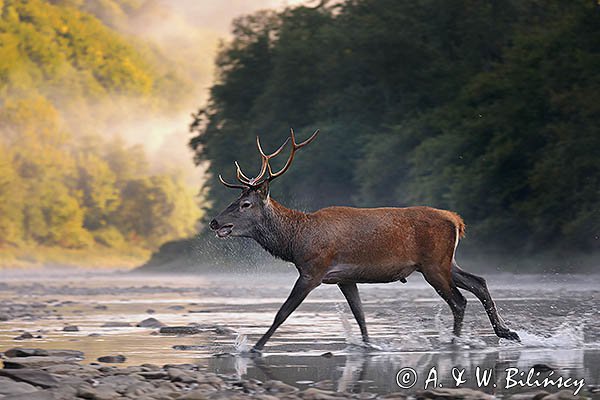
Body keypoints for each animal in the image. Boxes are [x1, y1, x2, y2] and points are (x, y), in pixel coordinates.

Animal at [209, 130, 516, 352]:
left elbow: (282, 313)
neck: (295, 241)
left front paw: (254, 348)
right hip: (445, 261)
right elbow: (361, 316)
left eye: (245, 204)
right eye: (235, 199)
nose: (214, 222)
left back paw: (456, 342)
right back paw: (506, 331)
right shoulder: (345, 278)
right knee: (479, 281)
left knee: (459, 301)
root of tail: (457, 220)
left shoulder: (313, 270)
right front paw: (370, 346)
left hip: (433, 265)